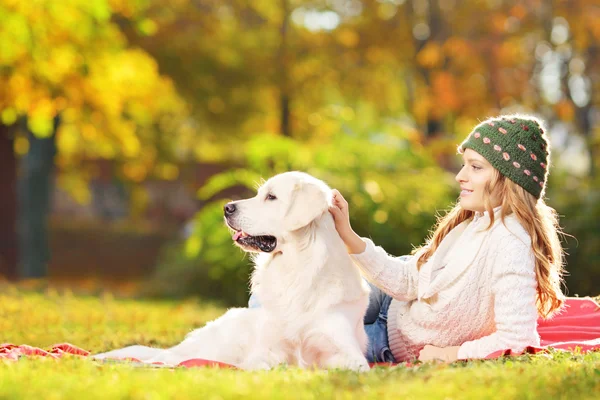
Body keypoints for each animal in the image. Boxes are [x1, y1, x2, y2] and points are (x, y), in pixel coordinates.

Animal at [94, 170, 370, 370]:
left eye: (271, 197)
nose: (226, 208)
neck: (296, 269)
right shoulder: (264, 350)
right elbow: (265, 363)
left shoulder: (348, 353)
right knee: (169, 357)